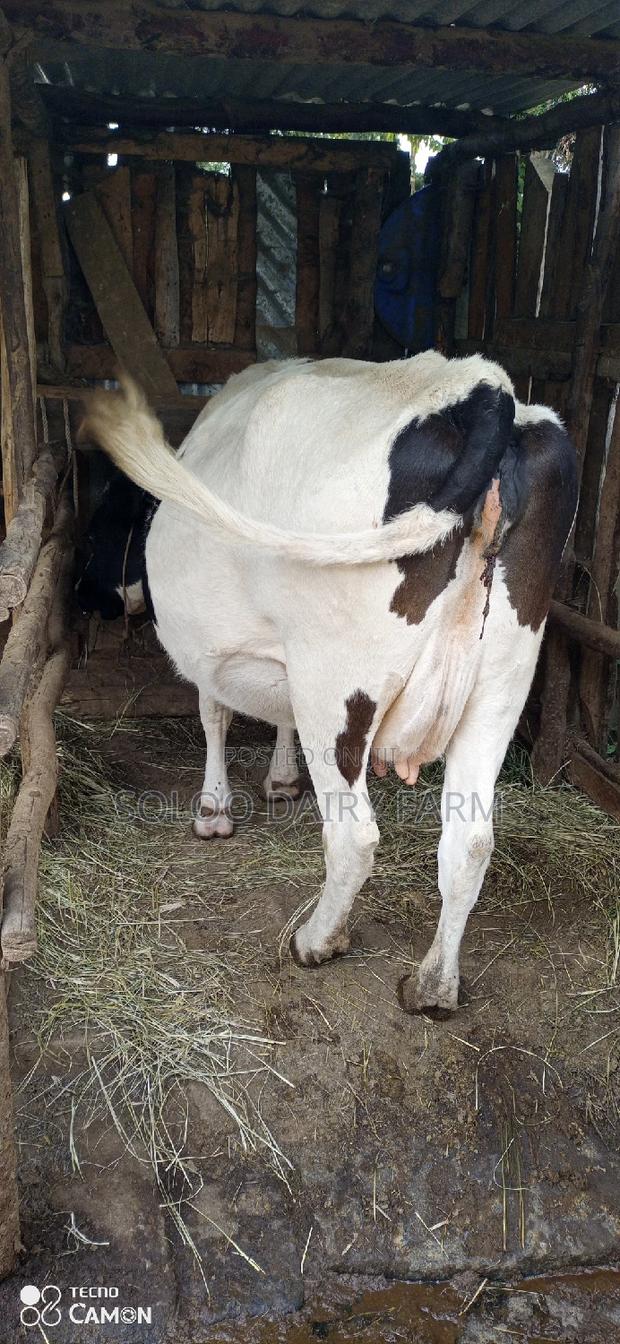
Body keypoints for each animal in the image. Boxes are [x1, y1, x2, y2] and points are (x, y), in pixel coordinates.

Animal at [78, 352, 577, 1017]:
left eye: (94, 532)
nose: (80, 597)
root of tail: (478, 386)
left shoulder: (210, 649)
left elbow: (214, 715)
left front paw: (214, 810)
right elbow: (275, 716)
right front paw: (282, 780)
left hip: (336, 681)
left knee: (353, 836)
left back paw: (317, 940)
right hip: (502, 683)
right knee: (469, 841)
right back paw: (433, 985)